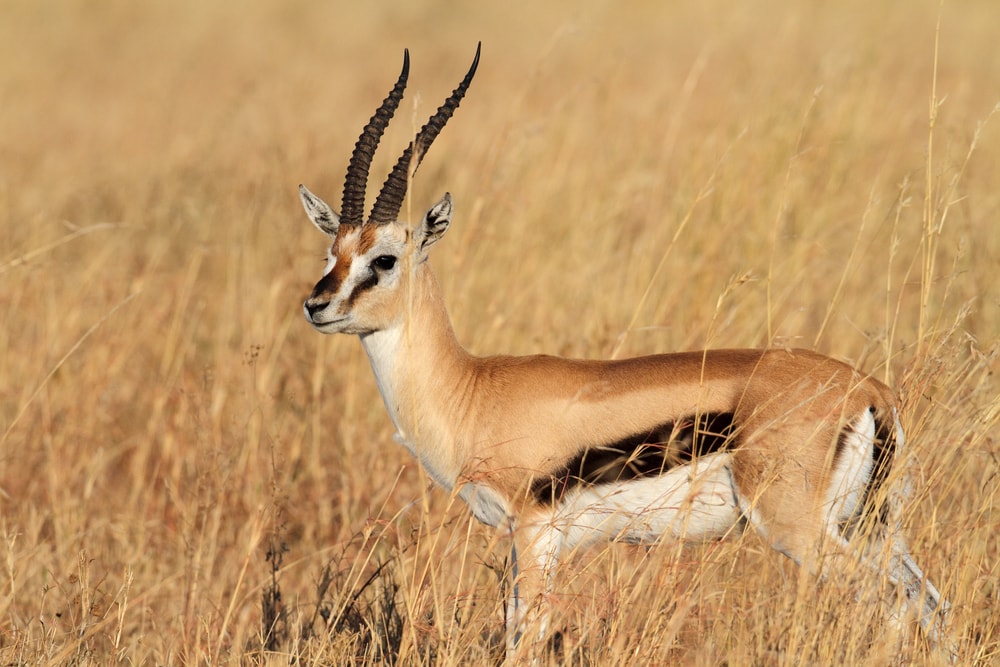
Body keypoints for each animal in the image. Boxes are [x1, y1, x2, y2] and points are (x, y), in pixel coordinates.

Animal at [297, 45, 954, 660]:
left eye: (384, 259)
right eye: (333, 252)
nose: (316, 306)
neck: (472, 389)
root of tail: (871, 391)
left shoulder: (534, 532)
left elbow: (523, 637)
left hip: (801, 529)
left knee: (894, 601)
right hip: (873, 527)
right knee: (931, 603)